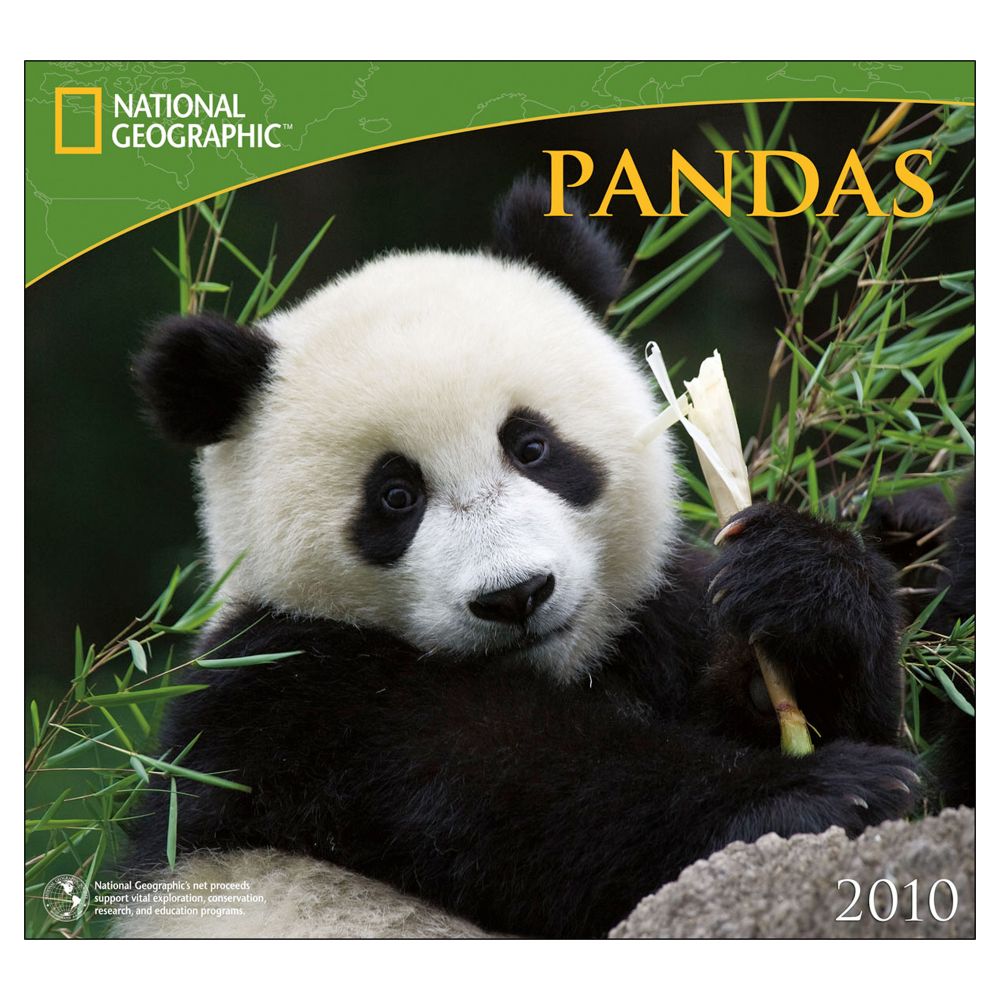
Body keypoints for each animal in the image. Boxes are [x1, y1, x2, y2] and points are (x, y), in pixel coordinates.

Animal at [124, 178, 933, 939]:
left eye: (532, 446)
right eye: (395, 496)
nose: (515, 596)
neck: (560, 670)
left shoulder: (657, 620)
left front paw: (802, 591)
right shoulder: (288, 694)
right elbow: (523, 794)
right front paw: (835, 789)